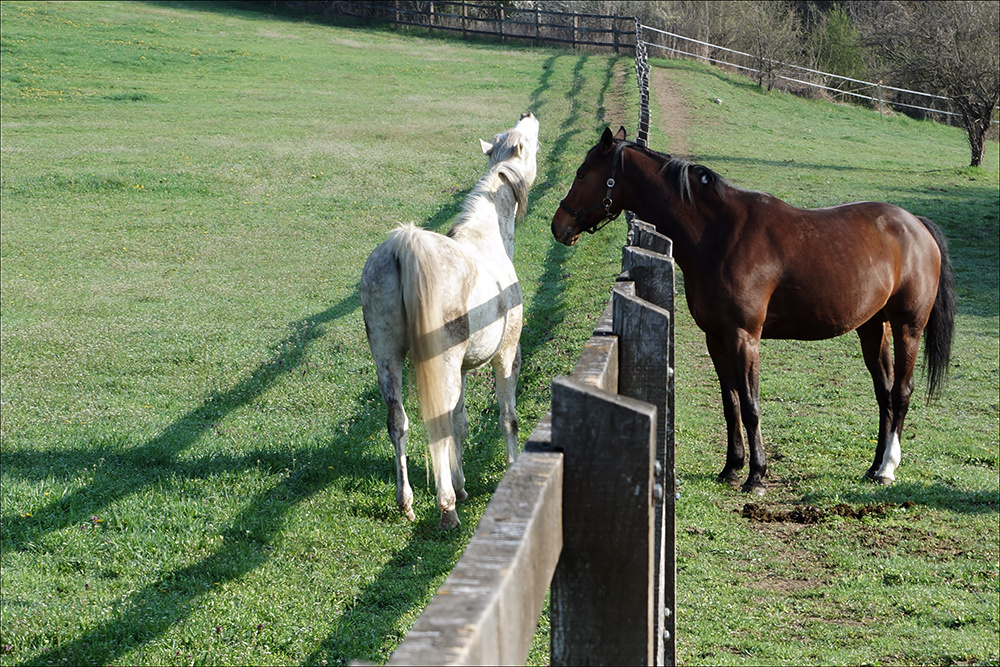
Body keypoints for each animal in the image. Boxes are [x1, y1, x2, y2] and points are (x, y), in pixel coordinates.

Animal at [362, 112, 540, 528]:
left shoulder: (462, 368)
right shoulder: (506, 355)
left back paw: (408, 503)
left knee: (399, 421)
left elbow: (460, 422)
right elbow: (507, 416)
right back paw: (447, 509)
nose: (528, 115)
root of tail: (404, 246)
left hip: (387, 360)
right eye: (528, 141)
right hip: (439, 364)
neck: (486, 237)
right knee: (436, 423)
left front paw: (462, 483)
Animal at [556, 128, 952, 496]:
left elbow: (750, 406)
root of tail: (916, 225)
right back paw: (873, 467)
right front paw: (731, 468)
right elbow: (730, 403)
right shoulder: (716, 338)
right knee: (883, 392)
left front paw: (756, 476)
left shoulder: (744, 338)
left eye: (582, 173)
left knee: (901, 391)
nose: (559, 225)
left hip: (907, 328)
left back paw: (887, 468)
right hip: (872, 327)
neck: (718, 234)